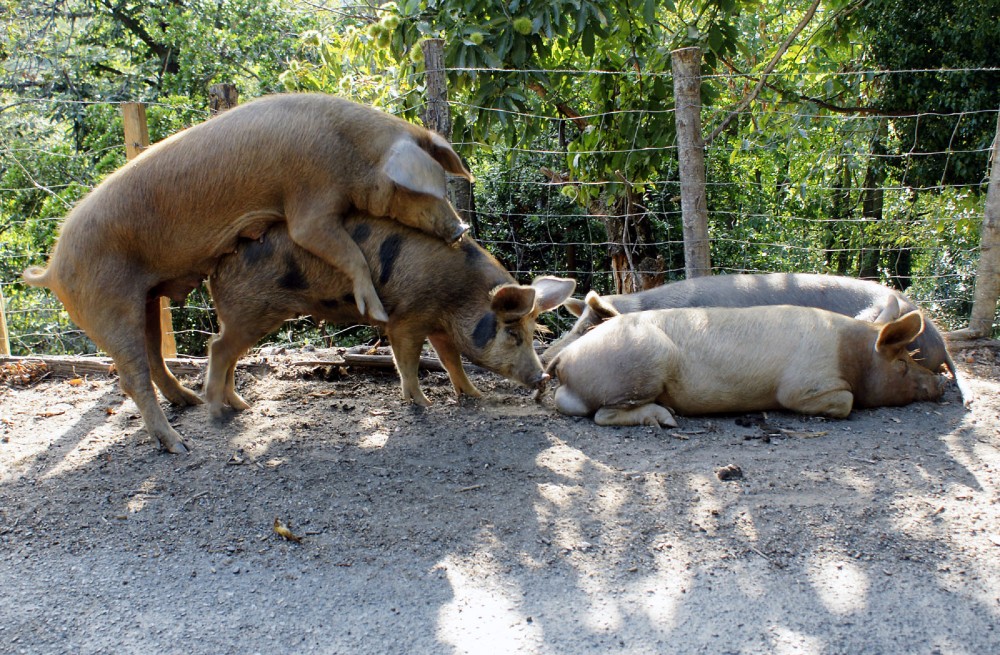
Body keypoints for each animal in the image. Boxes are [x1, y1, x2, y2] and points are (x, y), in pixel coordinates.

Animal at [21, 92, 474, 454]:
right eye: (421, 190)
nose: (460, 229)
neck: (352, 154)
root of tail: (52, 269)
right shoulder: (309, 201)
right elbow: (341, 249)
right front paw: (376, 311)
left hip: (146, 298)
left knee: (153, 357)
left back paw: (195, 402)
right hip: (107, 303)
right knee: (132, 376)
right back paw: (180, 444)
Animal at [207, 215, 576, 420]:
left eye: (532, 332)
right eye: (513, 334)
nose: (543, 376)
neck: (458, 294)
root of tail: (216, 270)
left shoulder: (439, 327)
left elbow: (451, 361)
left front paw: (475, 396)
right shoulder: (406, 320)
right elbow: (408, 363)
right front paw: (424, 403)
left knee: (229, 355)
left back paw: (241, 407)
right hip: (250, 312)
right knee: (218, 348)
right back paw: (219, 410)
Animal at [548, 294, 944, 428]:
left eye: (912, 356)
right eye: (902, 364)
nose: (939, 383)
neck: (849, 352)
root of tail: (565, 357)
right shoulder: (804, 386)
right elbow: (844, 402)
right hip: (643, 364)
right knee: (603, 415)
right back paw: (667, 419)